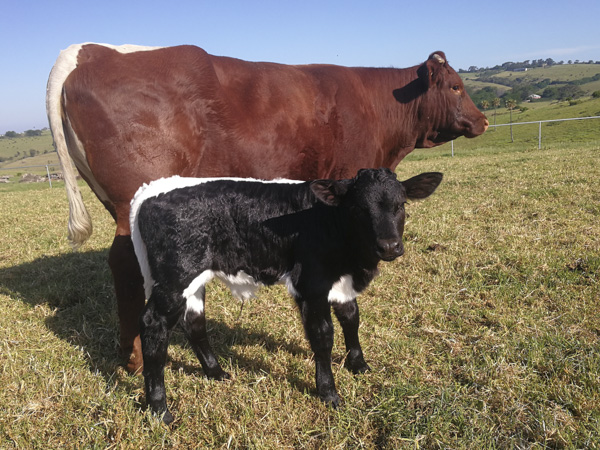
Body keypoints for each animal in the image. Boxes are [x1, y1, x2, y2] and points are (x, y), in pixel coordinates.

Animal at [45, 43, 488, 372]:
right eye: (455, 87)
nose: (482, 120)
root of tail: (93, 51)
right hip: (133, 201)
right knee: (125, 265)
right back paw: (137, 357)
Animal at [130, 168, 440, 422]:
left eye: (401, 204)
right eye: (358, 209)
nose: (389, 246)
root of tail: (151, 188)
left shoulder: (341, 284)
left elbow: (351, 318)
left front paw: (359, 365)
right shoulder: (311, 284)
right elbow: (323, 335)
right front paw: (329, 393)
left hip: (192, 280)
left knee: (193, 322)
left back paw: (216, 373)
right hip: (175, 277)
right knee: (153, 324)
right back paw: (160, 409)